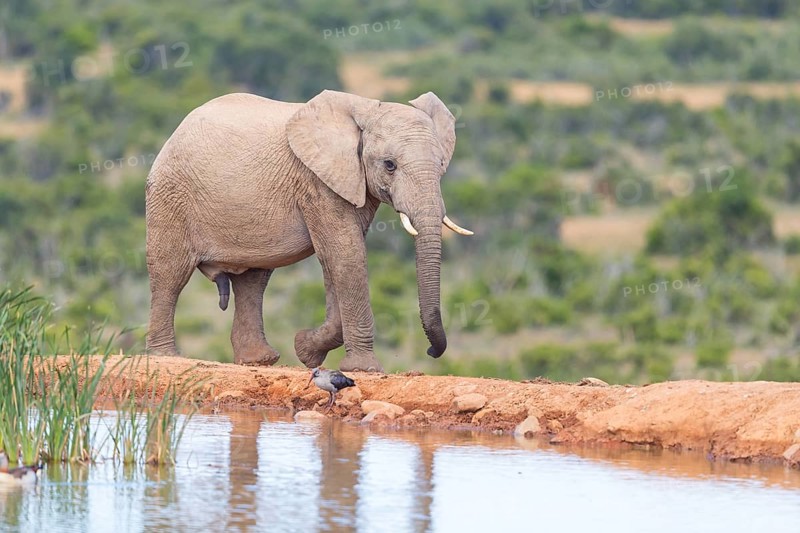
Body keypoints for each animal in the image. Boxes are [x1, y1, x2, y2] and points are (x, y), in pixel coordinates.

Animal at [145, 89, 473, 372]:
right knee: (170, 273)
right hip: (170, 194)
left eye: (441, 164)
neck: (365, 108)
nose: (431, 351)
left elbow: (335, 260)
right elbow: (345, 254)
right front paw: (360, 368)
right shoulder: (316, 181)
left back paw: (259, 361)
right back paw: (167, 357)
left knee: (253, 279)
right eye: (389, 165)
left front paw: (306, 350)